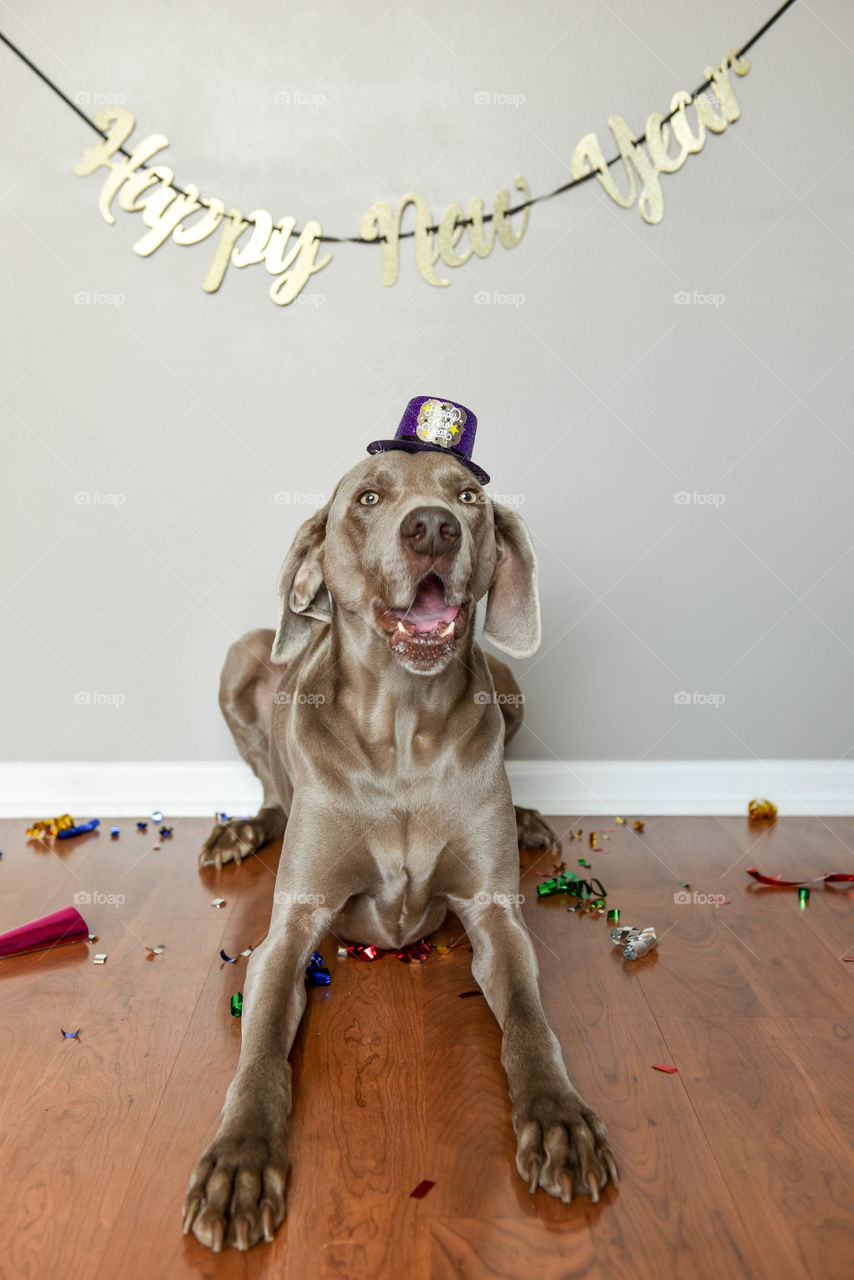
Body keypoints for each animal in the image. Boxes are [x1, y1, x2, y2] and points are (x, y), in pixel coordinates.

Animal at [184, 440, 617, 1249]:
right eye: (369, 498)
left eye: (469, 497)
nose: (433, 528)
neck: (404, 733)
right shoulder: (290, 929)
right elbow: (260, 1052)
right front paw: (239, 1160)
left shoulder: (496, 917)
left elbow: (530, 1026)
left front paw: (559, 1120)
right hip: (243, 656)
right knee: (274, 792)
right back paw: (242, 829)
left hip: (509, 682)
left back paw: (529, 818)